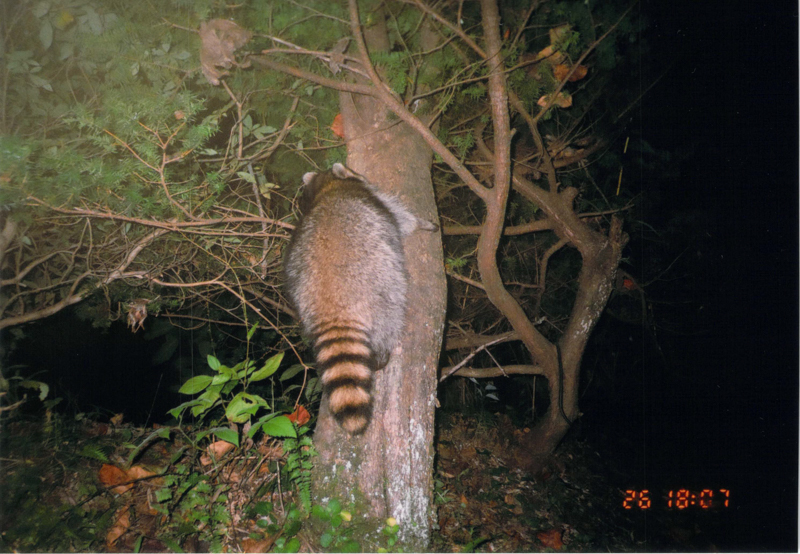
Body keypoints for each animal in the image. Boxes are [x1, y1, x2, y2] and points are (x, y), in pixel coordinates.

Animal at [284, 162, 438, 434]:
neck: (329, 187)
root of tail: (332, 303)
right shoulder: (376, 203)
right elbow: (401, 218)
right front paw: (422, 223)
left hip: (298, 285)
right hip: (380, 282)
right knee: (391, 313)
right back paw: (384, 351)